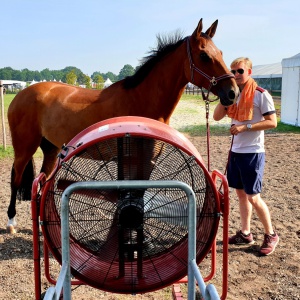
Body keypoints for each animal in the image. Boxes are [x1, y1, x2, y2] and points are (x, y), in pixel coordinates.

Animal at [5, 18, 239, 233]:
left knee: (42, 182)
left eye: (220, 52)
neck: (141, 99)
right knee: (16, 179)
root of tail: (21, 94)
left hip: (51, 149)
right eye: (204, 55)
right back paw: (11, 222)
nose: (233, 93)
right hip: (24, 148)